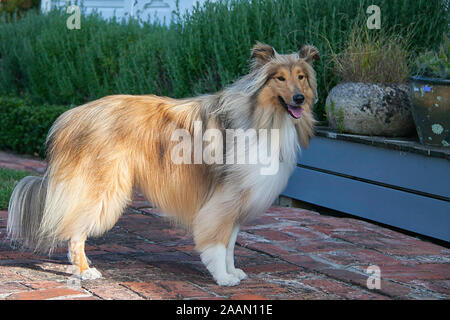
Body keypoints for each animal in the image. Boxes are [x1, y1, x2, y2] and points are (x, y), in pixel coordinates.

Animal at [7, 42, 318, 284]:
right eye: (280, 78)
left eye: (301, 77)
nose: (299, 98)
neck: (263, 116)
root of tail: (69, 118)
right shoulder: (223, 201)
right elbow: (218, 243)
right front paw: (223, 278)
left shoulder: (237, 201)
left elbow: (230, 244)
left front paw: (232, 272)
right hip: (99, 189)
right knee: (75, 234)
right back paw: (85, 271)